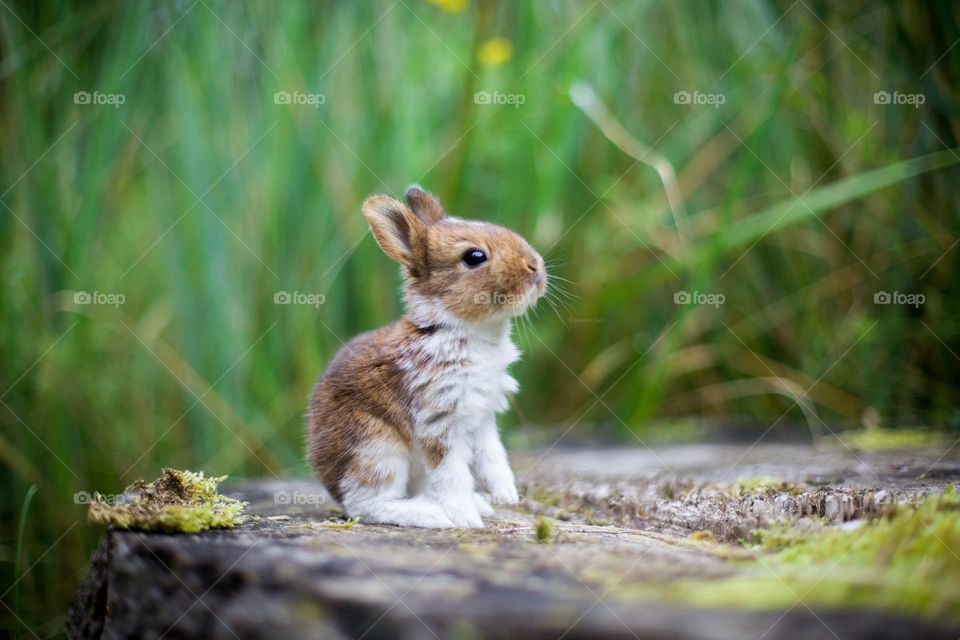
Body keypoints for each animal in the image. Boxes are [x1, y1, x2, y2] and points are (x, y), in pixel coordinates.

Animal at [307, 186, 546, 528]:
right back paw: (433, 515)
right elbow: (453, 475)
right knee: (366, 502)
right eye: (474, 257)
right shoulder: (439, 420)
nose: (535, 267)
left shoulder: (483, 420)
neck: (467, 331)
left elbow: (494, 459)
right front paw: (467, 519)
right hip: (377, 447)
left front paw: (506, 496)